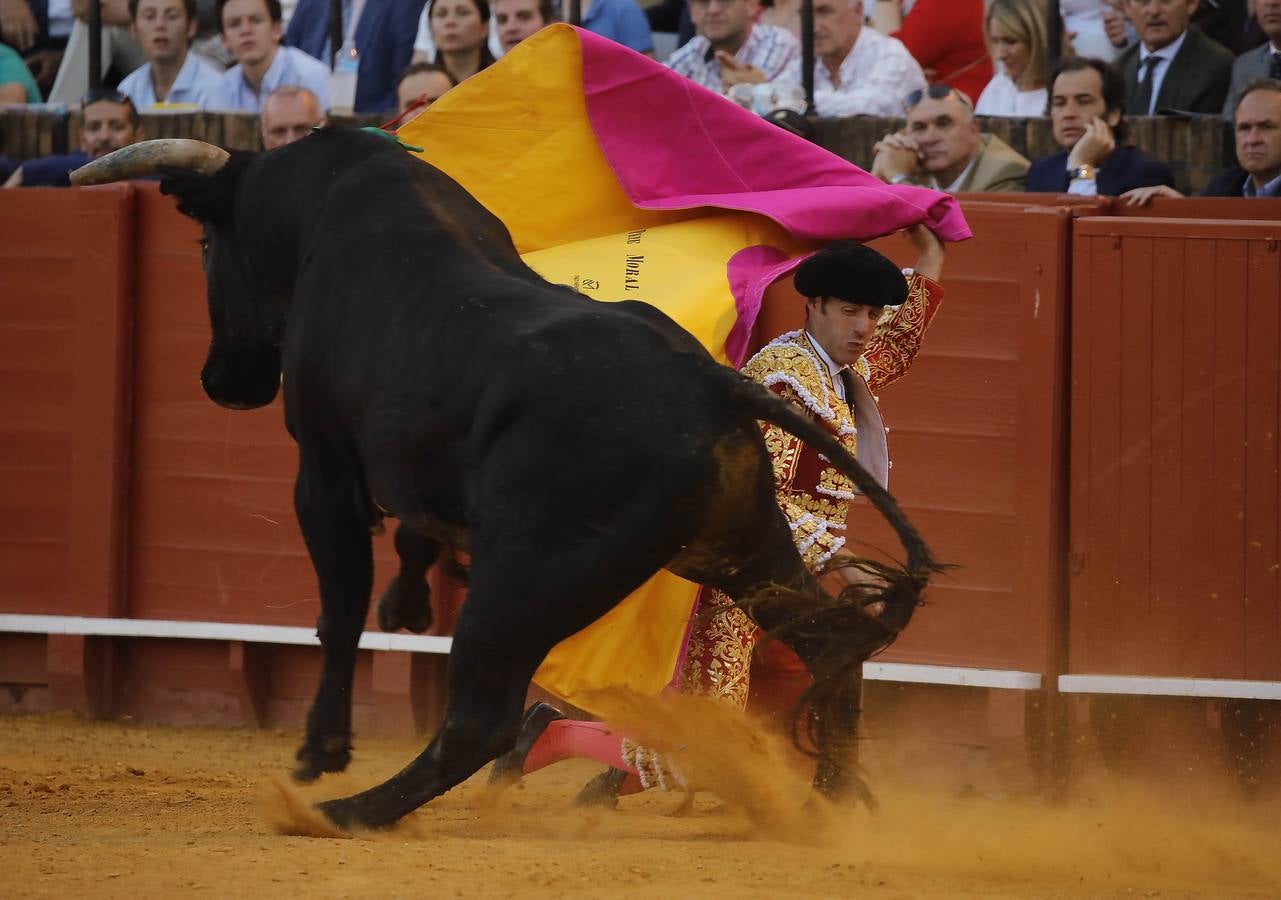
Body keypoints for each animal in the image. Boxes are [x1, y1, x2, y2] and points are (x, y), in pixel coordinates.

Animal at [74, 126, 937, 829]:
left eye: (205, 247)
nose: (223, 380)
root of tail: (713, 382)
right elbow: (412, 539)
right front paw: (406, 604)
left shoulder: (321, 465)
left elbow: (339, 609)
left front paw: (321, 749)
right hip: (740, 546)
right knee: (831, 644)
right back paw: (828, 803)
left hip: (525, 577)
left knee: (482, 716)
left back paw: (341, 811)